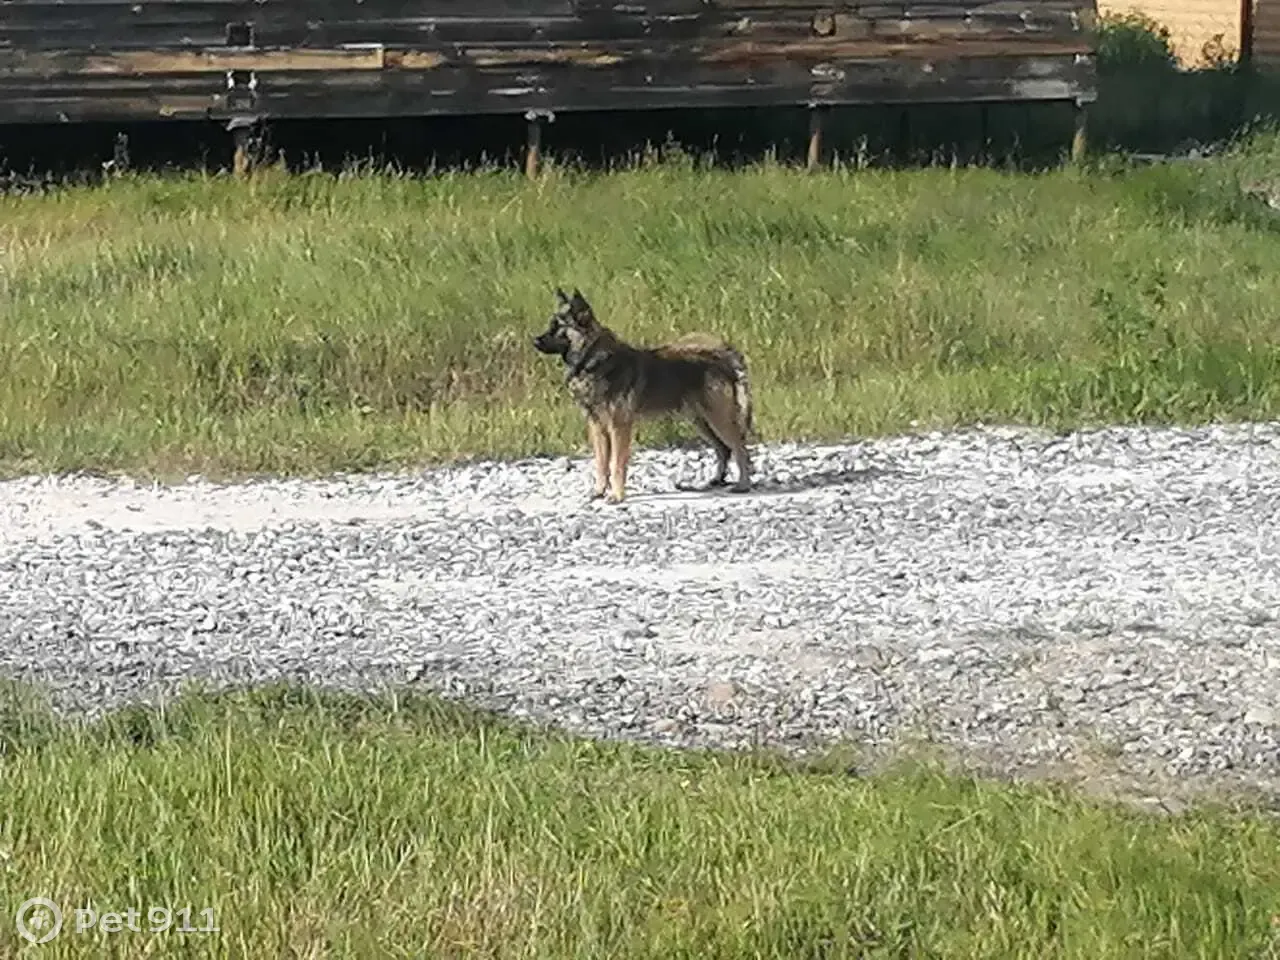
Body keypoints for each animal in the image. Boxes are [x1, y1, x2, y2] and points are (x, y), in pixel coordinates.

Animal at [527, 285, 747, 506]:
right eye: (551, 324)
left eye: (559, 326)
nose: (534, 340)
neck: (592, 361)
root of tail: (720, 357)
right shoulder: (597, 428)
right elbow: (601, 463)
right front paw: (599, 491)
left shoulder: (619, 427)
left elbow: (616, 463)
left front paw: (616, 495)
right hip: (700, 421)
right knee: (724, 449)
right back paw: (716, 480)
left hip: (718, 419)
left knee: (740, 449)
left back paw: (743, 485)